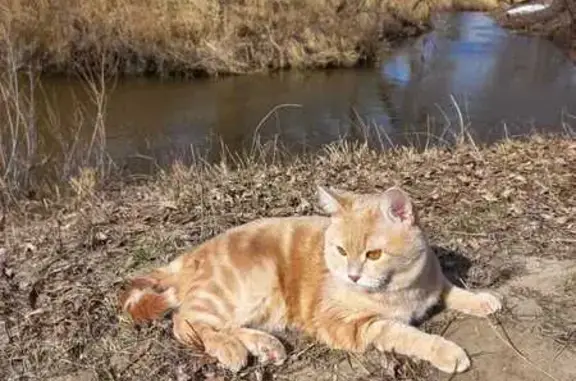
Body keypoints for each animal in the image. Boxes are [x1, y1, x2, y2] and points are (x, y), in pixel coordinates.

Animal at [119, 186, 502, 372]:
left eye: (373, 255)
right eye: (341, 250)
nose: (352, 275)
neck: (400, 288)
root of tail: (190, 254)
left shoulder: (433, 283)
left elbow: (452, 290)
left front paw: (482, 299)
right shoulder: (351, 324)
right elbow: (407, 334)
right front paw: (445, 350)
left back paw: (265, 345)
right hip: (246, 288)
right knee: (188, 323)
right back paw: (232, 349)